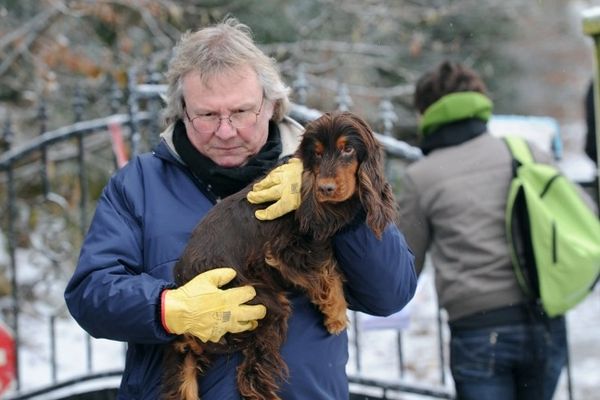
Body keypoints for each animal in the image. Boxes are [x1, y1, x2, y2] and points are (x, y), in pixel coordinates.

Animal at [162, 111, 396, 400]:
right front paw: (336, 315)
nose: (325, 189)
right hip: (262, 305)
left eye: (348, 149)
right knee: (252, 375)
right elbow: (328, 271)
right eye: (317, 153)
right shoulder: (285, 250)